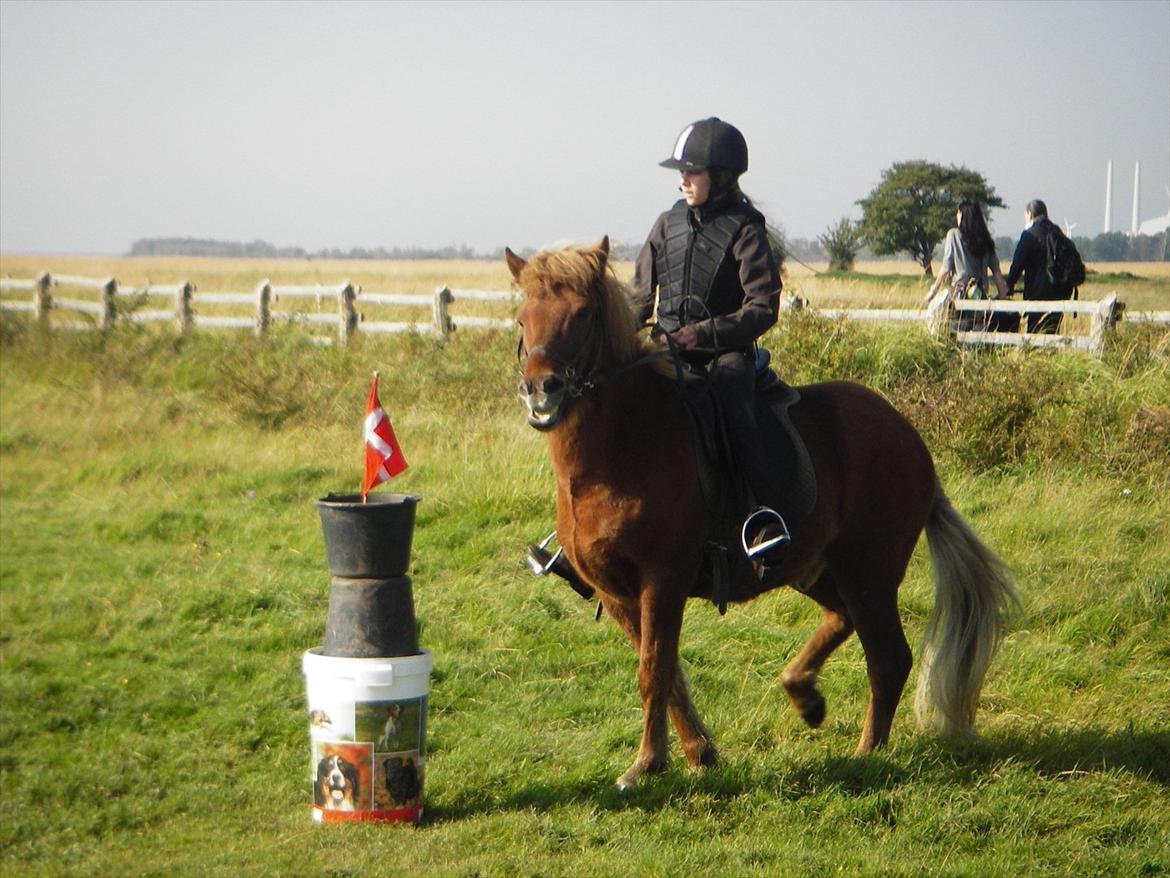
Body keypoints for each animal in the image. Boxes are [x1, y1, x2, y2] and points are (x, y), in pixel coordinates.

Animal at [507, 234, 1020, 791]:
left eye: (582, 314)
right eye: (521, 319)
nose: (541, 390)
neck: (619, 448)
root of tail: (908, 436)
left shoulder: (661, 581)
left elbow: (654, 670)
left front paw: (647, 763)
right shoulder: (616, 592)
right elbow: (669, 672)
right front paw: (698, 752)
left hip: (870, 573)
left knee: (888, 658)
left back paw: (867, 754)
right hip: (814, 567)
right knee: (841, 618)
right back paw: (805, 694)